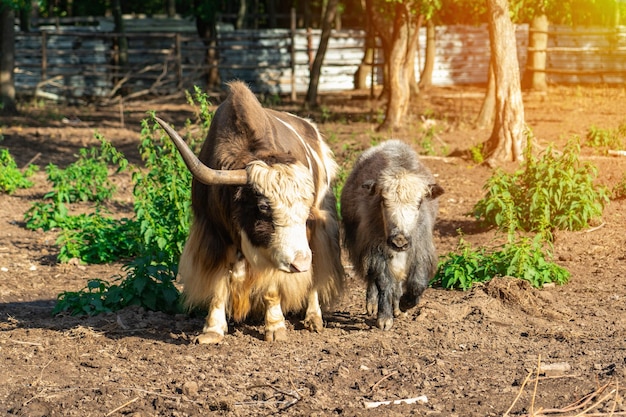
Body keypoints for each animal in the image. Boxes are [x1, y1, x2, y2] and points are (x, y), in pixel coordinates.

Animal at [338, 141, 442, 330]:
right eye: (384, 200)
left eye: (419, 202)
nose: (399, 241)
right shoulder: (374, 248)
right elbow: (384, 281)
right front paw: (384, 319)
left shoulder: (421, 248)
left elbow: (417, 282)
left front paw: (404, 304)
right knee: (374, 279)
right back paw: (373, 305)